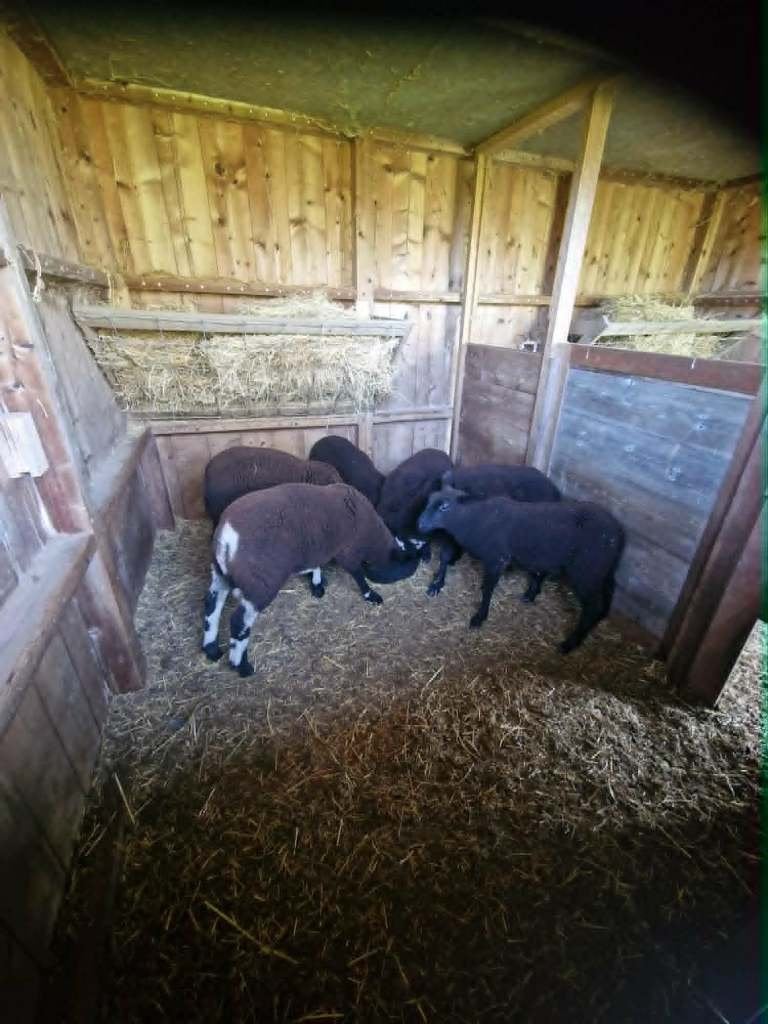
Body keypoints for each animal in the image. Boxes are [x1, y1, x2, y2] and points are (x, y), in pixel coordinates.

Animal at [202, 482, 420, 676]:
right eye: (407, 564)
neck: (371, 534)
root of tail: (227, 535)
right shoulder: (346, 551)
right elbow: (357, 574)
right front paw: (371, 595)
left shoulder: (319, 547)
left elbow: (317, 564)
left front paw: (317, 585)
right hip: (261, 583)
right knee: (239, 622)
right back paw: (241, 665)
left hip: (220, 573)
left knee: (212, 605)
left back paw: (211, 649)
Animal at [417, 484, 624, 652]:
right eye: (428, 500)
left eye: (444, 506)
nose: (419, 524)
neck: (473, 519)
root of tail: (617, 533)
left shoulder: (497, 559)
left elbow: (488, 589)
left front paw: (479, 617)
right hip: (602, 569)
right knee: (608, 593)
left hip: (587, 570)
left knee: (591, 607)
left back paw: (570, 643)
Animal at [426, 464, 562, 597]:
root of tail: (555, 490)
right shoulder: (451, 534)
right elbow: (445, 556)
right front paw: (438, 581)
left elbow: (445, 555)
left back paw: (532, 592)